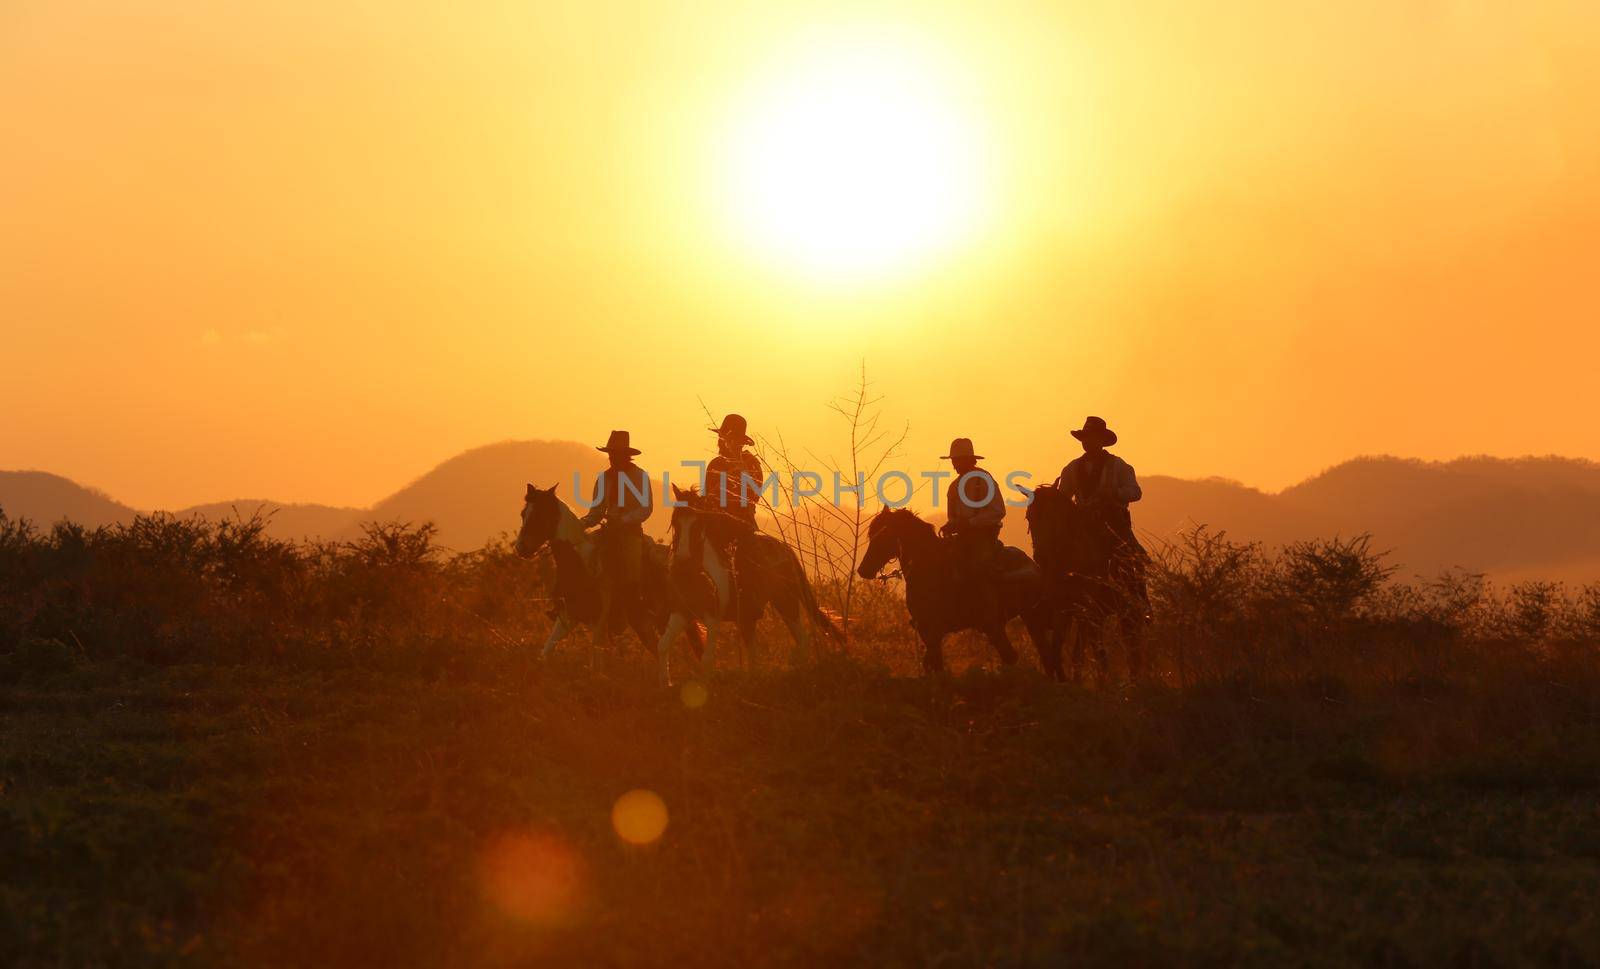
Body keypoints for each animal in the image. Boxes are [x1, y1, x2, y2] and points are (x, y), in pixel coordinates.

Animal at [515, 482, 697, 661]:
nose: (521, 547)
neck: (582, 565)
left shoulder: (599, 626)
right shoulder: (568, 618)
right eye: (523, 514)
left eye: (541, 514)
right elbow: (546, 652)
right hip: (644, 623)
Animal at [652, 482, 844, 684]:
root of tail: (785, 549)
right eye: (675, 521)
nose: (682, 561)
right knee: (755, 652)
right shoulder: (681, 613)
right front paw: (665, 683)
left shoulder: (713, 617)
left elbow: (707, 659)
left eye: (697, 524)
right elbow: (662, 646)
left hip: (786, 600)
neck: (696, 574)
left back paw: (798, 669)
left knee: (801, 639)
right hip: (750, 618)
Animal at [851, 508, 1062, 674]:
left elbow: (935, 665)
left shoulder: (935, 629)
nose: (863, 569)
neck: (930, 570)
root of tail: (1031, 564)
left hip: (1017, 619)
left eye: (884, 534)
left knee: (1017, 655)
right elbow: (933, 665)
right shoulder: (927, 630)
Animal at [1024, 486, 1152, 684]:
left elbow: (1094, 651)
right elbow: (1059, 649)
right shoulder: (1066, 611)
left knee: (1131, 637)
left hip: (1126, 606)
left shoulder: (1090, 611)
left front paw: (1103, 682)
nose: (1041, 557)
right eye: (1030, 517)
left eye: (1053, 515)